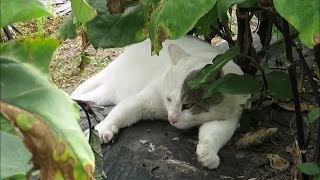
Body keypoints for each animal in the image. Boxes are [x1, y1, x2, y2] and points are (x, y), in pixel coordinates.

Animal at [72, 36, 250, 169]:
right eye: (169, 99)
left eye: (188, 105)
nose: (172, 119)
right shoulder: (142, 101)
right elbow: (119, 113)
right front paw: (101, 130)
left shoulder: (227, 119)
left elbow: (215, 135)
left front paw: (208, 153)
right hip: (110, 91)